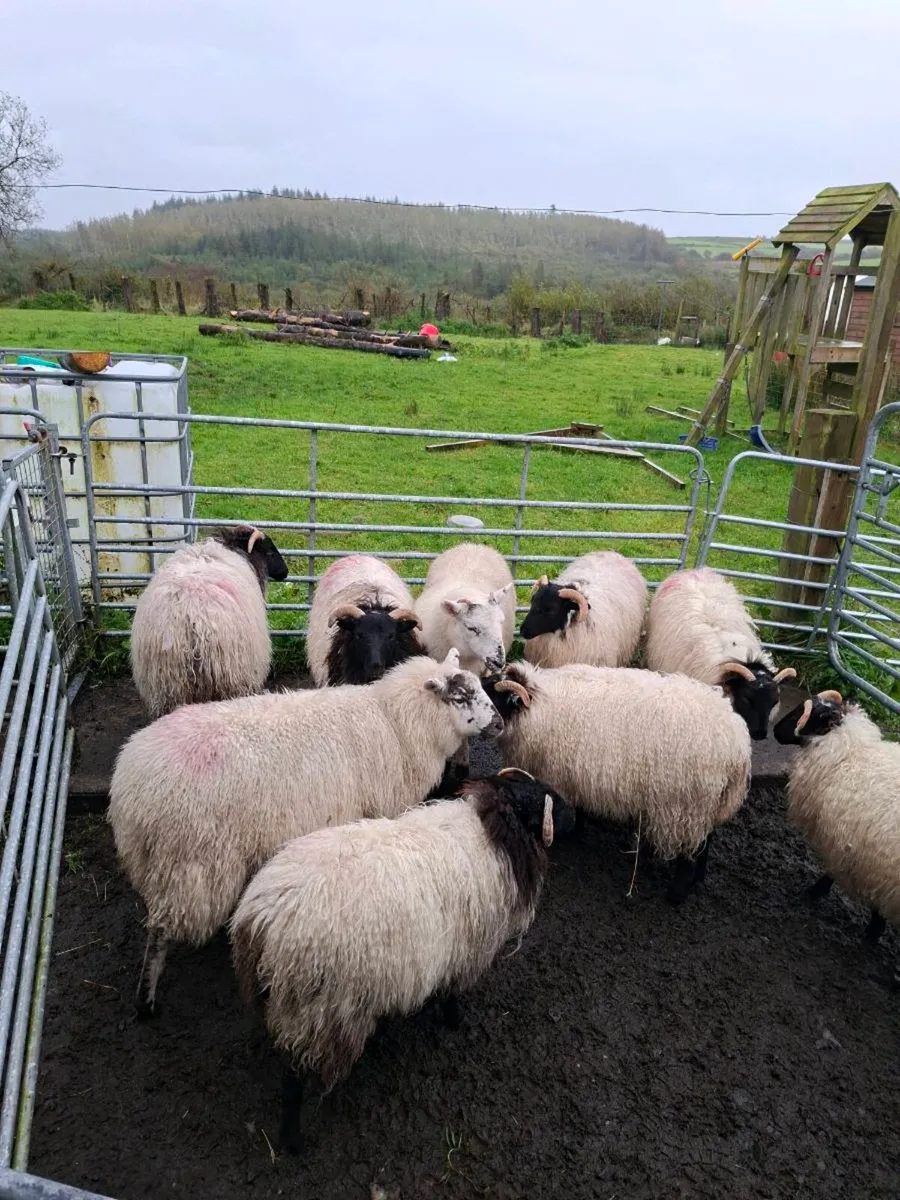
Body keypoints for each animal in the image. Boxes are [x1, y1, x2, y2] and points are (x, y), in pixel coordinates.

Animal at [108, 648, 502, 1018]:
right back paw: (146, 1000)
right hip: (189, 860)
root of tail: (129, 786)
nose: (499, 723)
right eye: (461, 696)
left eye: (480, 686)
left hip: (162, 862)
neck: (396, 722)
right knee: (159, 932)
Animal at [230, 769, 575, 1154]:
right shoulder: (465, 951)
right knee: (293, 1081)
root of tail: (262, 921)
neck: (492, 832)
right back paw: (292, 1141)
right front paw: (455, 1022)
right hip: (317, 1012)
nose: (575, 815)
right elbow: (452, 994)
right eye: (548, 802)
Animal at [482, 659, 751, 902]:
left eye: (493, 698)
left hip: (687, 803)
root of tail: (738, 747)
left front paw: (569, 834)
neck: (537, 705)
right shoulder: (578, 773)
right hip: (709, 801)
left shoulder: (561, 775)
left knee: (691, 851)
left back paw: (677, 893)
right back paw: (698, 879)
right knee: (706, 840)